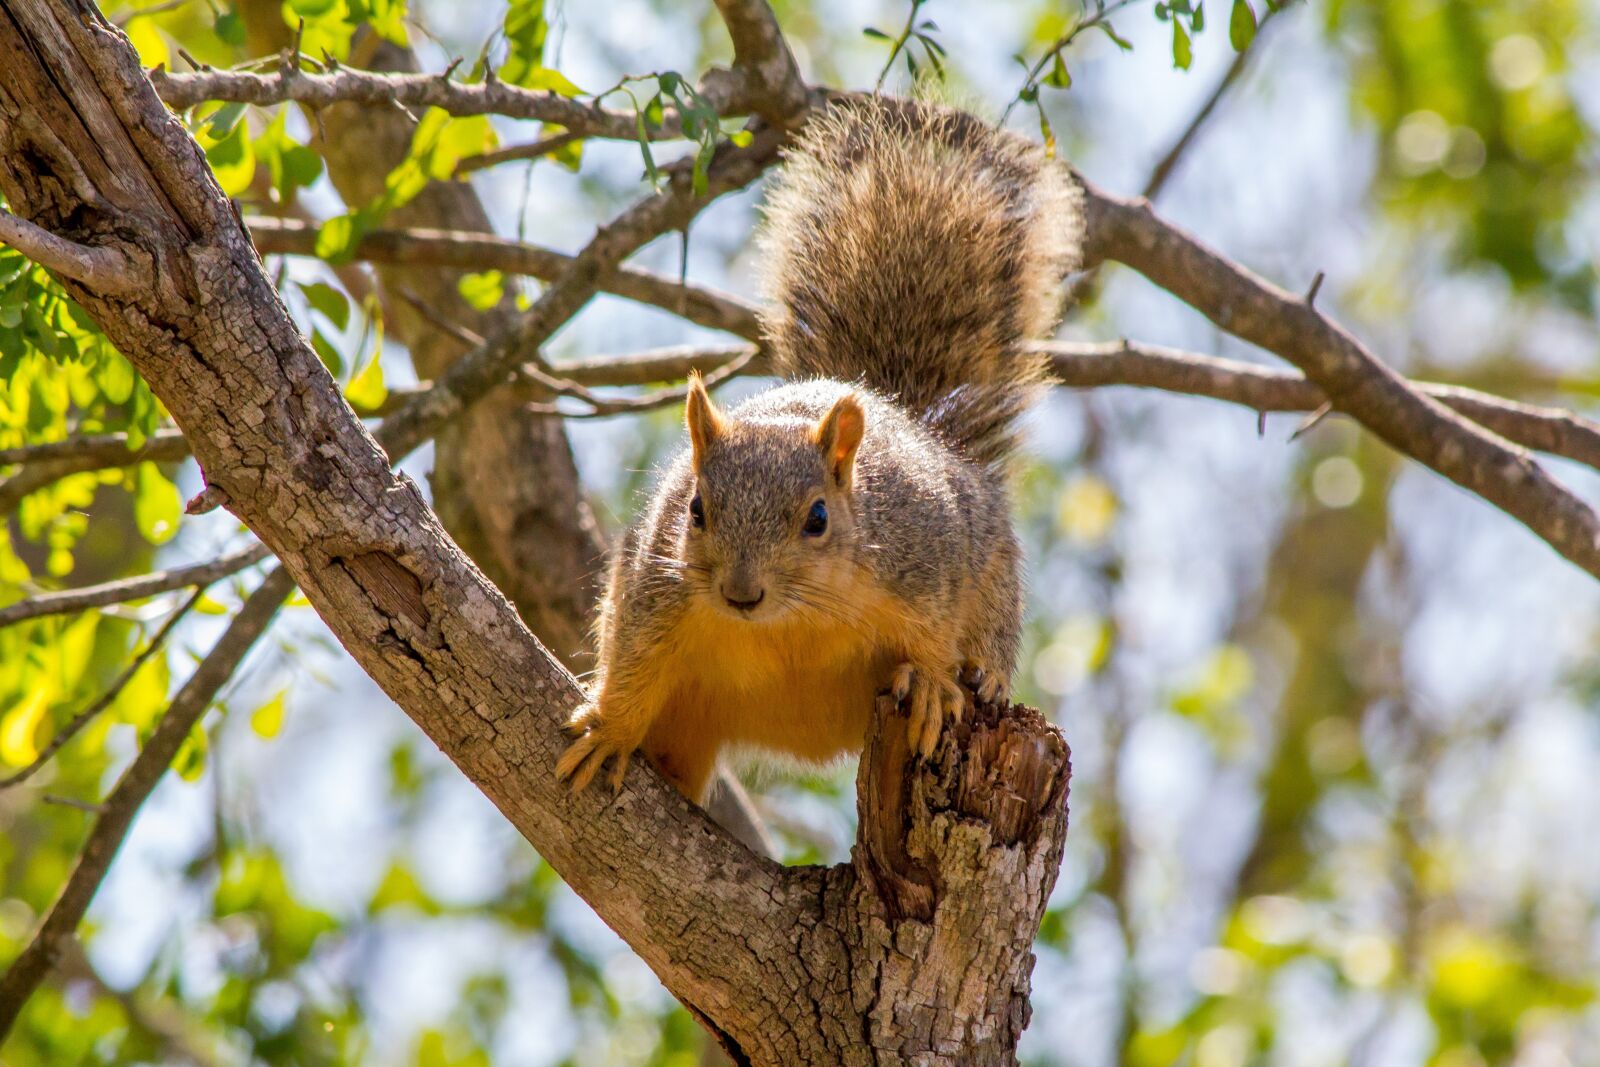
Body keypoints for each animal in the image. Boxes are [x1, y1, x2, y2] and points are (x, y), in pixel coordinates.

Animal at [557, 96, 1083, 802]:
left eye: (818, 518)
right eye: (695, 511)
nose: (740, 595)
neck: (793, 621)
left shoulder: (927, 559)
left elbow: (935, 632)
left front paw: (931, 684)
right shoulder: (655, 588)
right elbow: (635, 659)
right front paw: (609, 729)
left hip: (992, 569)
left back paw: (985, 675)